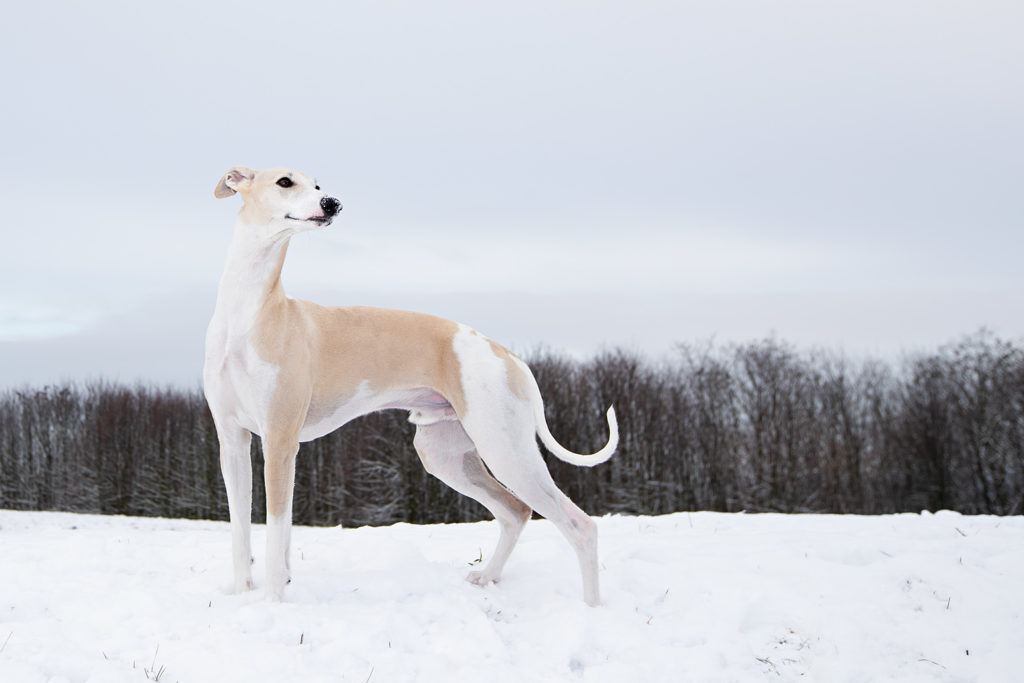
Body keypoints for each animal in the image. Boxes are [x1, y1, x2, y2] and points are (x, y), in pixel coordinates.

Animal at [200, 167, 614, 606]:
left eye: (317, 186)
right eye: (284, 182)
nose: (332, 203)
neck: (251, 312)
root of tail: (508, 355)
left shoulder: (280, 441)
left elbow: (276, 531)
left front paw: (274, 603)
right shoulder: (233, 440)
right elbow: (240, 528)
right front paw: (240, 592)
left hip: (506, 449)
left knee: (579, 524)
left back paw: (591, 607)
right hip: (447, 454)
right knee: (514, 511)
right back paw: (487, 577)